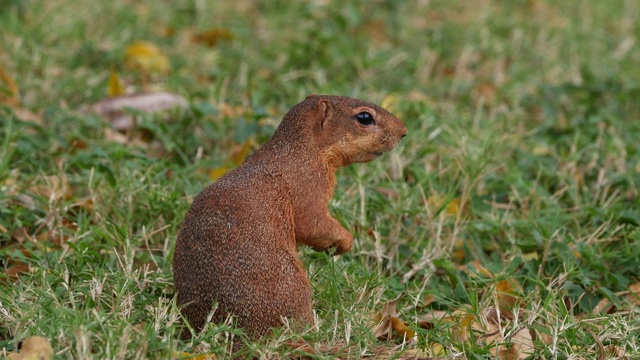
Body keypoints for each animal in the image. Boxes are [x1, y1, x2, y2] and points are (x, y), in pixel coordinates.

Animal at [172, 94, 408, 338]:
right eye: (364, 117)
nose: (404, 131)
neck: (300, 152)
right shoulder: (307, 187)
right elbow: (312, 224)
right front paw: (344, 241)